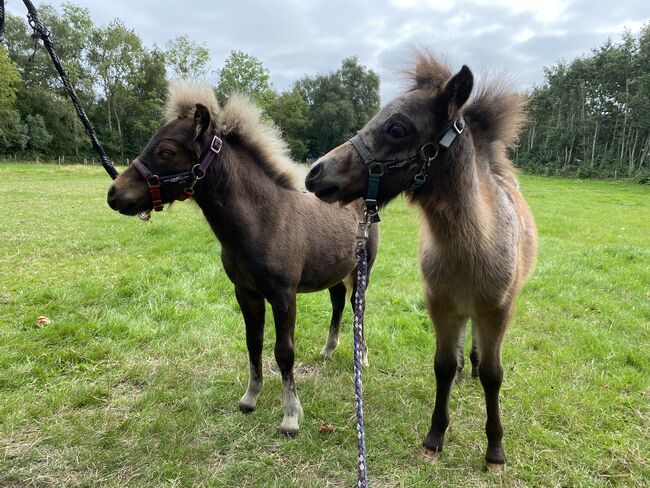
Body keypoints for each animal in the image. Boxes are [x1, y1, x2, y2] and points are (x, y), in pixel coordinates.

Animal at [105, 82, 378, 436]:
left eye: (166, 151)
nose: (114, 193)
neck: (264, 220)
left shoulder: (283, 295)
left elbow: (284, 352)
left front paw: (291, 417)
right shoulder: (246, 293)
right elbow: (253, 343)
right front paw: (250, 398)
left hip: (362, 271)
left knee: (359, 311)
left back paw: (363, 357)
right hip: (334, 271)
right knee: (337, 303)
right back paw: (328, 350)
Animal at [304, 54, 536, 472]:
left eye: (397, 128)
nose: (315, 173)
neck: (469, 252)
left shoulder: (498, 311)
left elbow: (494, 374)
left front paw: (495, 451)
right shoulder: (440, 306)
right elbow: (442, 366)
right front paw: (434, 438)